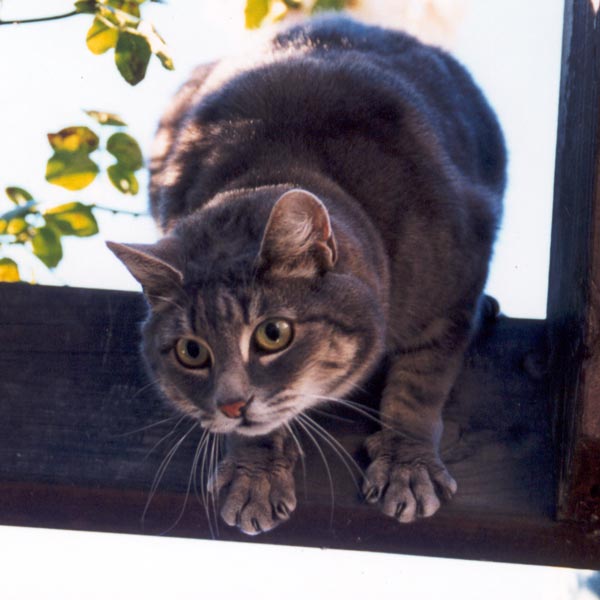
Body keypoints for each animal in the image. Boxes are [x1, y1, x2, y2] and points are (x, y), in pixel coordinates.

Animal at [109, 15, 506, 536]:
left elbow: (421, 380)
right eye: (191, 352)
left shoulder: (456, 284)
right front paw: (255, 474)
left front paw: (406, 463)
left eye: (272, 334)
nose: (231, 405)